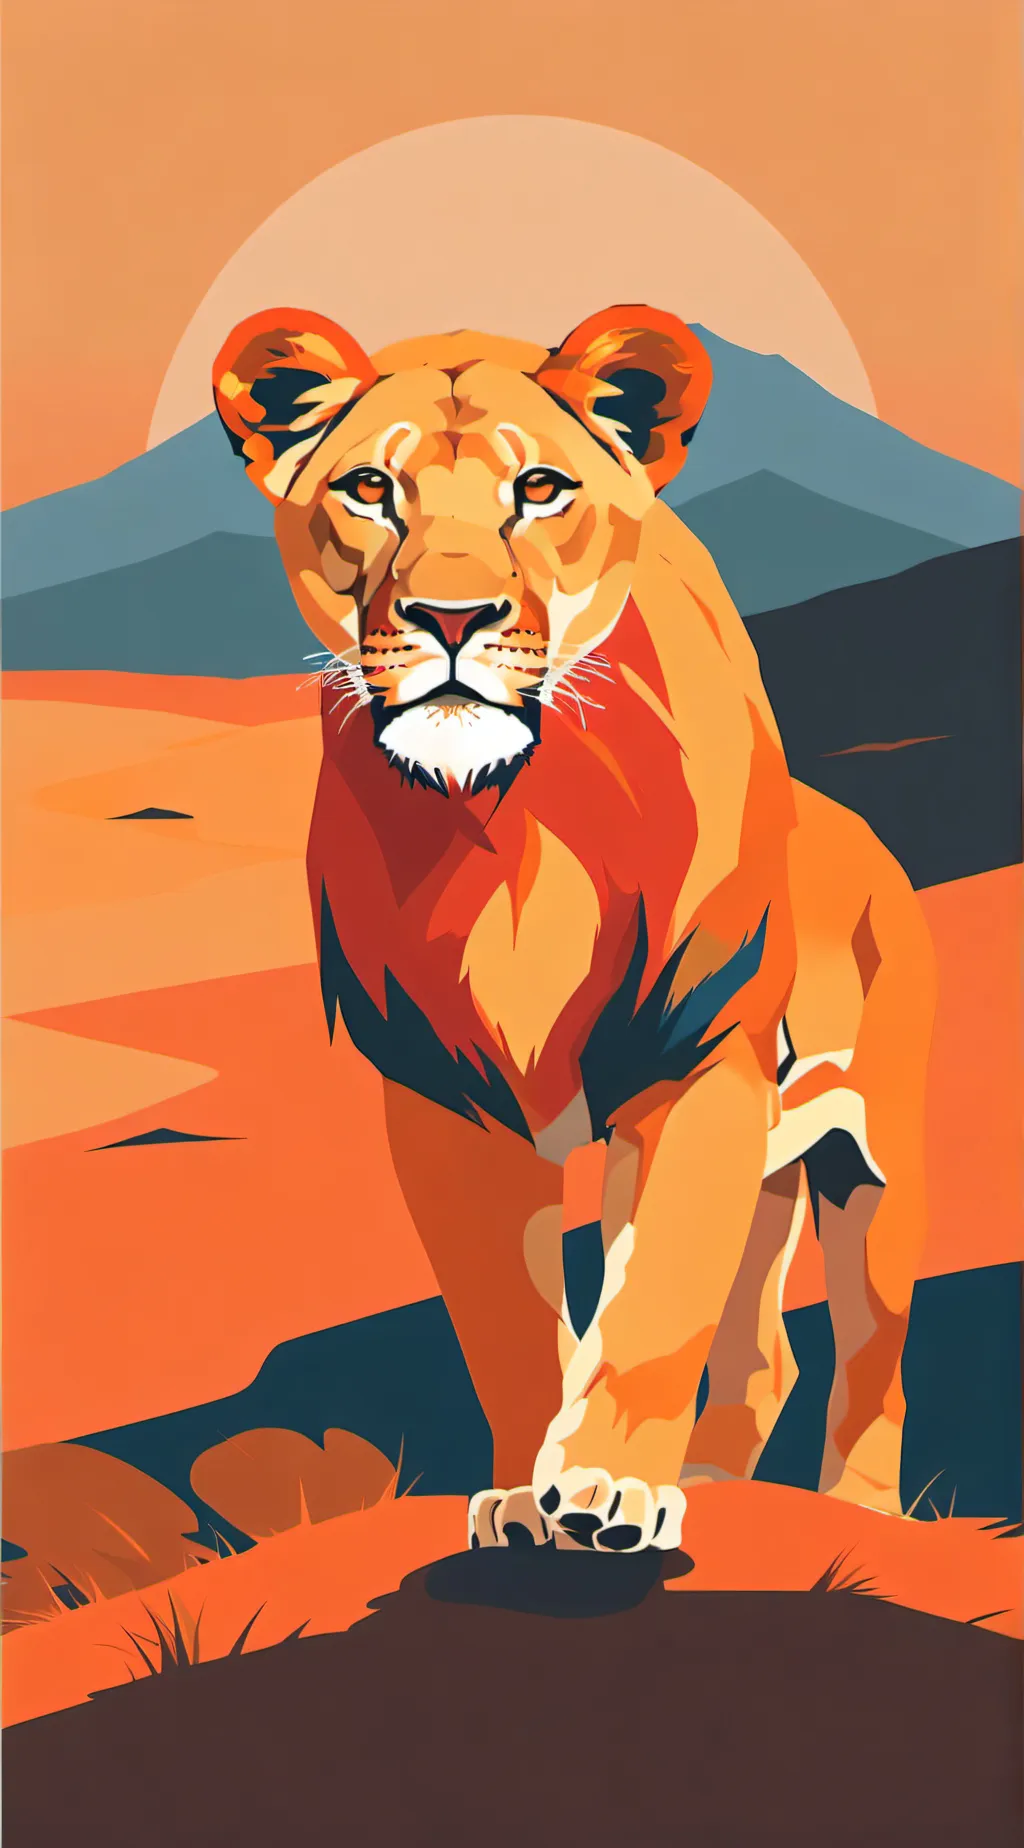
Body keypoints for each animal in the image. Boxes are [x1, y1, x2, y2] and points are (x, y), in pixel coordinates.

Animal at [213, 304, 936, 1554]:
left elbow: (651, 1304)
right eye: (370, 488)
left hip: (870, 1162)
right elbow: (507, 1321)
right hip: (770, 1174)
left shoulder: (697, 1066)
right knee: (766, 1357)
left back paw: (852, 1518)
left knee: (870, 1361)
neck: (506, 831)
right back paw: (719, 1489)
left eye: (539, 488)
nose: (452, 617)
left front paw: (605, 1491)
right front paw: (521, 1499)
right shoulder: (446, 1099)